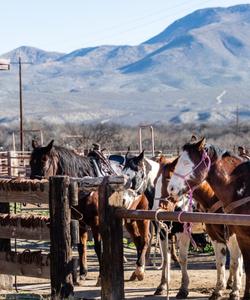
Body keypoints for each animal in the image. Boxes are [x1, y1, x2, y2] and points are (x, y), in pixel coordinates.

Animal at [167, 139, 249, 300]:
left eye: (186, 162)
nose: (171, 189)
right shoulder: (218, 235)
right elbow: (221, 262)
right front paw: (218, 290)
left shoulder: (233, 235)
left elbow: (236, 261)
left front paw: (235, 291)